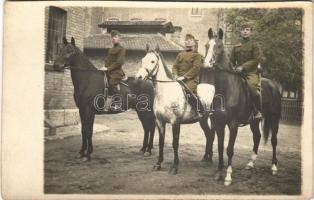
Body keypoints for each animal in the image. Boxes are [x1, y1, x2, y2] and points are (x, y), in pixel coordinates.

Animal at [136, 45, 216, 173]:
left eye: (152, 61)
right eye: (142, 60)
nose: (138, 77)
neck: (165, 93)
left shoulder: (175, 122)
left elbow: (175, 143)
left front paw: (175, 166)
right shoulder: (160, 122)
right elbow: (161, 142)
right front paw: (158, 164)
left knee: (211, 136)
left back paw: (209, 159)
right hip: (202, 120)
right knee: (209, 135)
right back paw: (206, 158)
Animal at [202, 28, 280, 186]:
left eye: (219, 46)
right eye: (207, 45)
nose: (207, 64)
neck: (226, 90)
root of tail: (274, 84)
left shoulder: (233, 125)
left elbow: (229, 149)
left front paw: (228, 176)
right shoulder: (218, 123)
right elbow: (220, 147)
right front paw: (219, 172)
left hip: (275, 119)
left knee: (274, 141)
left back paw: (274, 167)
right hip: (255, 121)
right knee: (257, 137)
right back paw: (250, 164)